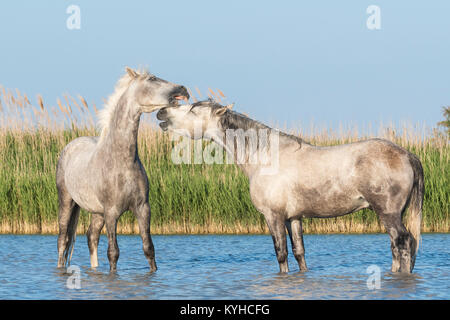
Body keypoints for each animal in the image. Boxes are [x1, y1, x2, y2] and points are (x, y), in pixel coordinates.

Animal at [56, 66, 188, 272]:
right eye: (152, 79)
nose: (182, 89)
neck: (122, 161)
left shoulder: (143, 209)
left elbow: (148, 248)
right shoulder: (112, 213)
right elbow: (113, 252)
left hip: (97, 212)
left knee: (91, 237)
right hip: (67, 201)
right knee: (63, 240)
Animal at [156, 101, 424, 274]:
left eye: (192, 109)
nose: (161, 112)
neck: (264, 157)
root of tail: (407, 155)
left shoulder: (273, 216)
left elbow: (281, 253)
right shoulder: (293, 218)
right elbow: (299, 253)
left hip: (388, 213)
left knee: (404, 242)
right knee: (397, 246)